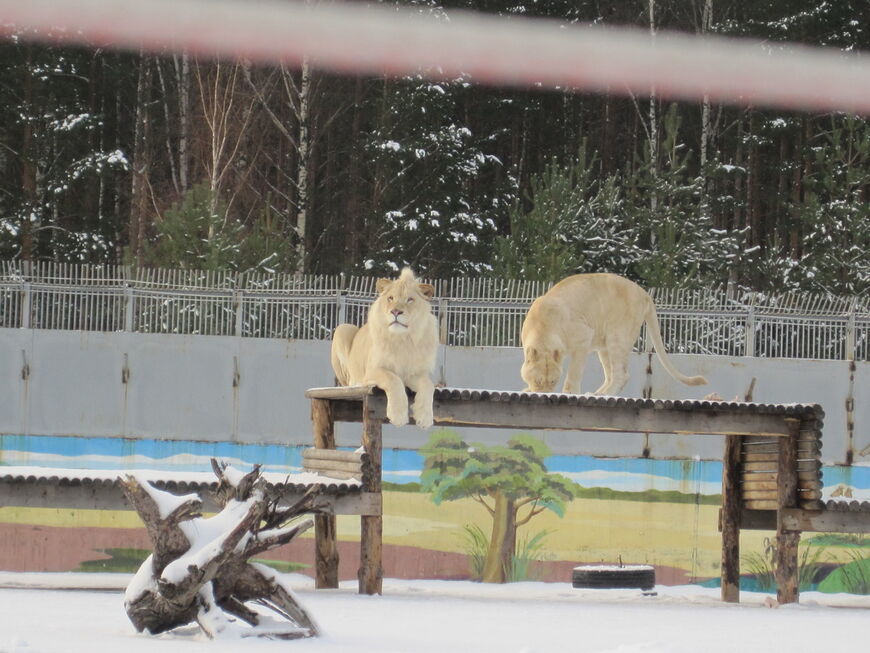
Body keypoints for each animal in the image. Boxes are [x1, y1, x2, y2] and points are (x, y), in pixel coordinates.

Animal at [328, 266, 436, 428]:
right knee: (347, 382)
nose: (396, 311)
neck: (402, 339)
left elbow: (429, 385)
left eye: (410, 299)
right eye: (390, 298)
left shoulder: (414, 372)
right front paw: (398, 416)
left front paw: (425, 417)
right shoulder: (372, 370)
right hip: (343, 328)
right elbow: (393, 379)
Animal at [520, 272, 704, 394]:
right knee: (611, 375)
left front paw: (570, 393)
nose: (544, 394)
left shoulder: (583, 337)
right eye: (538, 380)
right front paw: (527, 390)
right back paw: (596, 394)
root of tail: (644, 293)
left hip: (618, 336)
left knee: (621, 375)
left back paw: (602, 395)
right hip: (604, 345)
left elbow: (573, 374)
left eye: (553, 381)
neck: (542, 329)